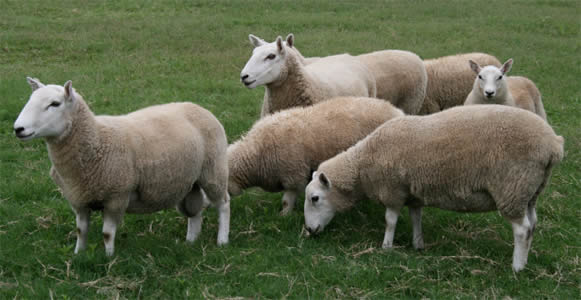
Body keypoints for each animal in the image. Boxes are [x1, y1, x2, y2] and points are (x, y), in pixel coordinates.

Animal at [12, 77, 230, 255]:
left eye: (54, 104)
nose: (18, 129)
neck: (96, 140)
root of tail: (197, 107)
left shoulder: (116, 196)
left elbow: (107, 233)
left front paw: (109, 259)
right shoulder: (79, 199)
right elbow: (81, 231)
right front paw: (78, 255)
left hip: (213, 171)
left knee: (224, 203)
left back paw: (222, 240)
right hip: (189, 182)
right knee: (196, 211)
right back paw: (191, 241)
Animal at [306, 105, 564, 272]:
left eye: (315, 198)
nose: (309, 230)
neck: (362, 165)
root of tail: (553, 145)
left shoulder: (393, 190)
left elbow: (390, 221)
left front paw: (386, 247)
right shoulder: (412, 193)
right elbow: (416, 218)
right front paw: (418, 245)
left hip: (512, 186)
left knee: (521, 230)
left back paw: (516, 267)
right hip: (530, 191)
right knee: (532, 225)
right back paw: (525, 261)